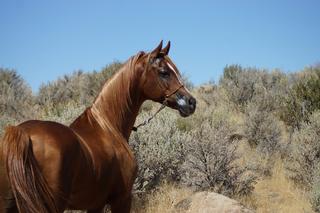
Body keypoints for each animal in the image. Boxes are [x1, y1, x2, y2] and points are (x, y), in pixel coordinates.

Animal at [0, 40, 195, 212]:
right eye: (164, 72)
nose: (191, 102)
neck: (108, 126)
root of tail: (22, 133)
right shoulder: (122, 199)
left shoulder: (96, 204)